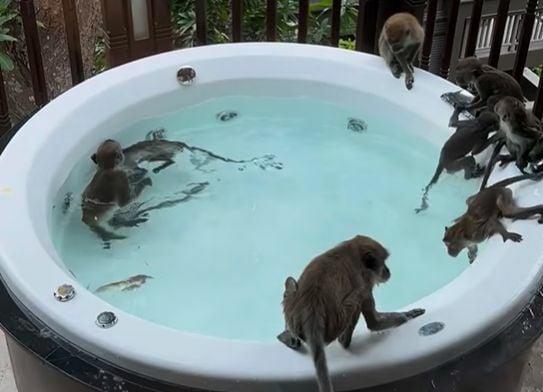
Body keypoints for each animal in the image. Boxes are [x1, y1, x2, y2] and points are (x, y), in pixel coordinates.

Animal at [278, 234, 428, 390]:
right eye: (383, 264)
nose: (388, 271)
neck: (350, 250)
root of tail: (310, 308)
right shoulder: (365, 283)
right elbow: (374, 323)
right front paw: (406, 316)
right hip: (337, 322)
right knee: (356, 300)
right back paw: (344, 341)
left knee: (290, 282)